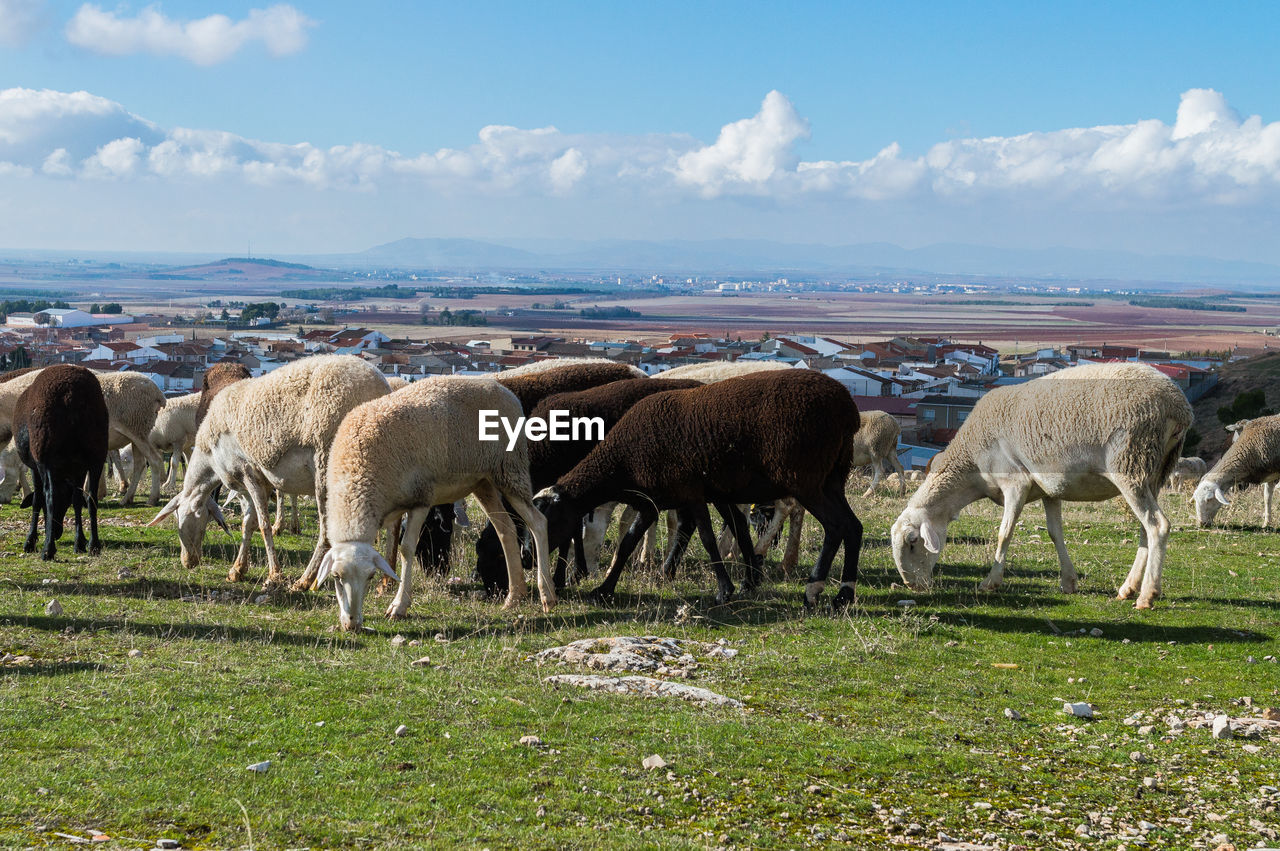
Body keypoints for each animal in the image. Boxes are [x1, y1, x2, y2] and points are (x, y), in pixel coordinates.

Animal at [9, 363, 108, 557]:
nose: (56, 533)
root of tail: (71, 393)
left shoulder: (36, 466)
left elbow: (38, 499)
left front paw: (30, 541)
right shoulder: (79, 469)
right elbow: (77, 500)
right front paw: (80, 542)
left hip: (45, 452)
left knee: (49, 495)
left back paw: (48, 550)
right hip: (97, 453)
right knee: (91, 498)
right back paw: (94, 545)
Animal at [151, 355, 389, 588]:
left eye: (180, 519)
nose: (188, 562)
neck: (210, 455)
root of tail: (380, 386)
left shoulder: (249, 473)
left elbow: (263, 524)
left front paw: (274, 574)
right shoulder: (246, 486)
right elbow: (248, 524)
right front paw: (237, 570)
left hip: (327, 466)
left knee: (326, 531)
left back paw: (306, 580)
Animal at [317, 376, 552, 627]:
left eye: (370, 576)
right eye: (336, 576)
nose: (352, 623)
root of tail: (503, 390)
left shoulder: (421, 498)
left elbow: (406, 549)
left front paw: (399, 606)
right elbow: (392, 543)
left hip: (510, 469)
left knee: (537, 522)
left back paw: (547, 595)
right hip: (484, 481)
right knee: (506, 530)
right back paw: (514, 596)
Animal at [529, 368, 860, 606]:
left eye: (549, 521)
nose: (528, 556)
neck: (622, 461)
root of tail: (848, 409)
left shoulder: (691, 491)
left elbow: (707, 538)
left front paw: (725, 590)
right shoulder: (651, 501)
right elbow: (628, 543)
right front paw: (603, 590)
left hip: (806, 479)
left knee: (836, 526)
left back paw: (813, 589)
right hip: (832, 479)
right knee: (853, 526)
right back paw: (844, 593)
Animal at [890, 360, 1187, 606]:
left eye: (913, 542)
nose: (912, 585)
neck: (971, 465)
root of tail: (1179, 406)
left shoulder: (1015, 483)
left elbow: (1005, 532)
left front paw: (991, 582)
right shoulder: (1049, 488)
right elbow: (1056, 533)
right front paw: (1068, 582)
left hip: (1129, 463)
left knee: (1157, 525)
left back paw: (1147, 595)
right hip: (1153, 472)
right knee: (1145, 528)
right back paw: (1128, 588)